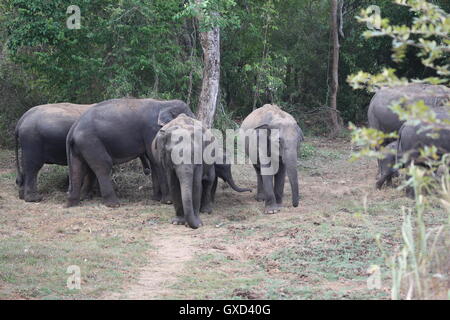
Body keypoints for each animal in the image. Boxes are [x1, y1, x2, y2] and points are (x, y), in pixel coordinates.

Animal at [66, 97, 194, 208]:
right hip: (90, 141)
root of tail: (73, 129)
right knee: (103, 166)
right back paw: (114, 204)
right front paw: (167, 201)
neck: (164, 103)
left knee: (77, 168)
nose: (145, 171)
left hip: (80, 146)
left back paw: (73, 203)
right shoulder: (151, 129)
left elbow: (153, 160)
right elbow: (156, 160)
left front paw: (156, 199)